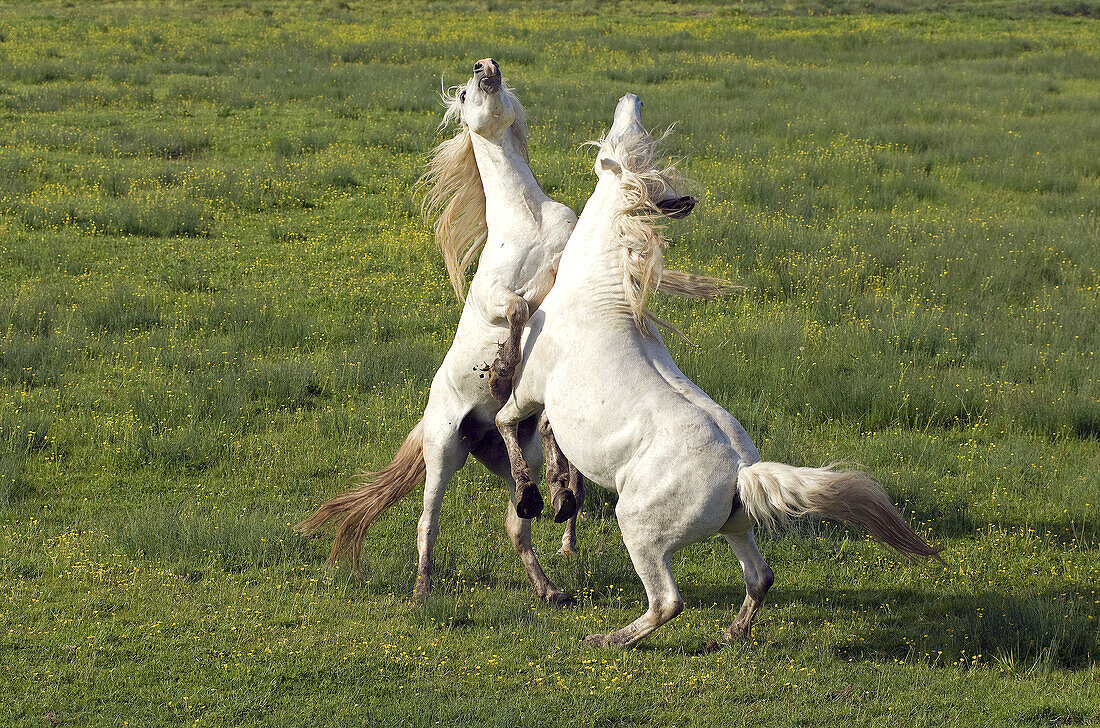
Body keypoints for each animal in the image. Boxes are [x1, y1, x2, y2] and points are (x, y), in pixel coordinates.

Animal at [497, 95, 937, 651]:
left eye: (610, 149)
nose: (629, 100)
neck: (598, 297)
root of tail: (740, 474)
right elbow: (550, 445)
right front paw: (558, 495)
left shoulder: (530, 389)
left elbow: (509, 425)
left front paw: (532, 497)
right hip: (736, 529)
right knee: (761, 577)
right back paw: (727, 637)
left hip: (640, 529)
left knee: (667, 602)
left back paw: (610, 640)